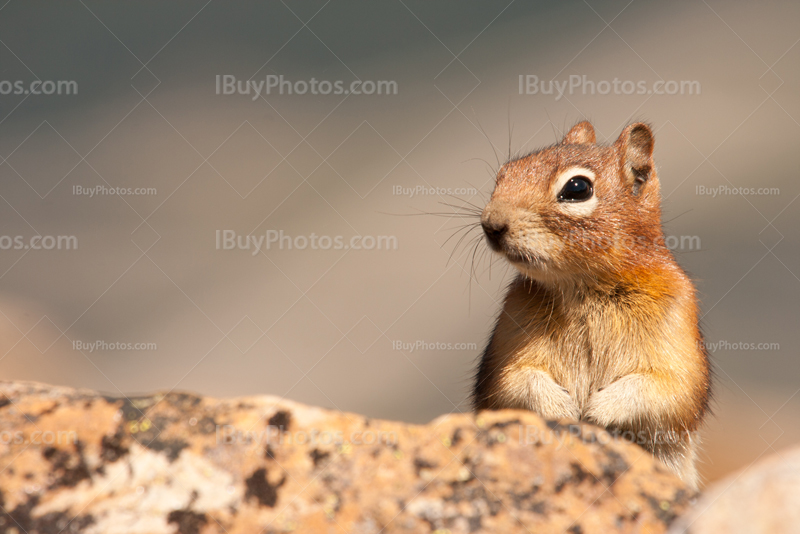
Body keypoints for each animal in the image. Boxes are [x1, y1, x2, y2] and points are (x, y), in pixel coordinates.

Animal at [472, 120, 708, 490]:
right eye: (504, 173)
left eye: (577, 188)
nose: (491, 224)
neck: (586, 289)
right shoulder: (509, 338)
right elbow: (514, 382)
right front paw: (561, 409)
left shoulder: (677, 328)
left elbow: (666, 389)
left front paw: (598, 411)